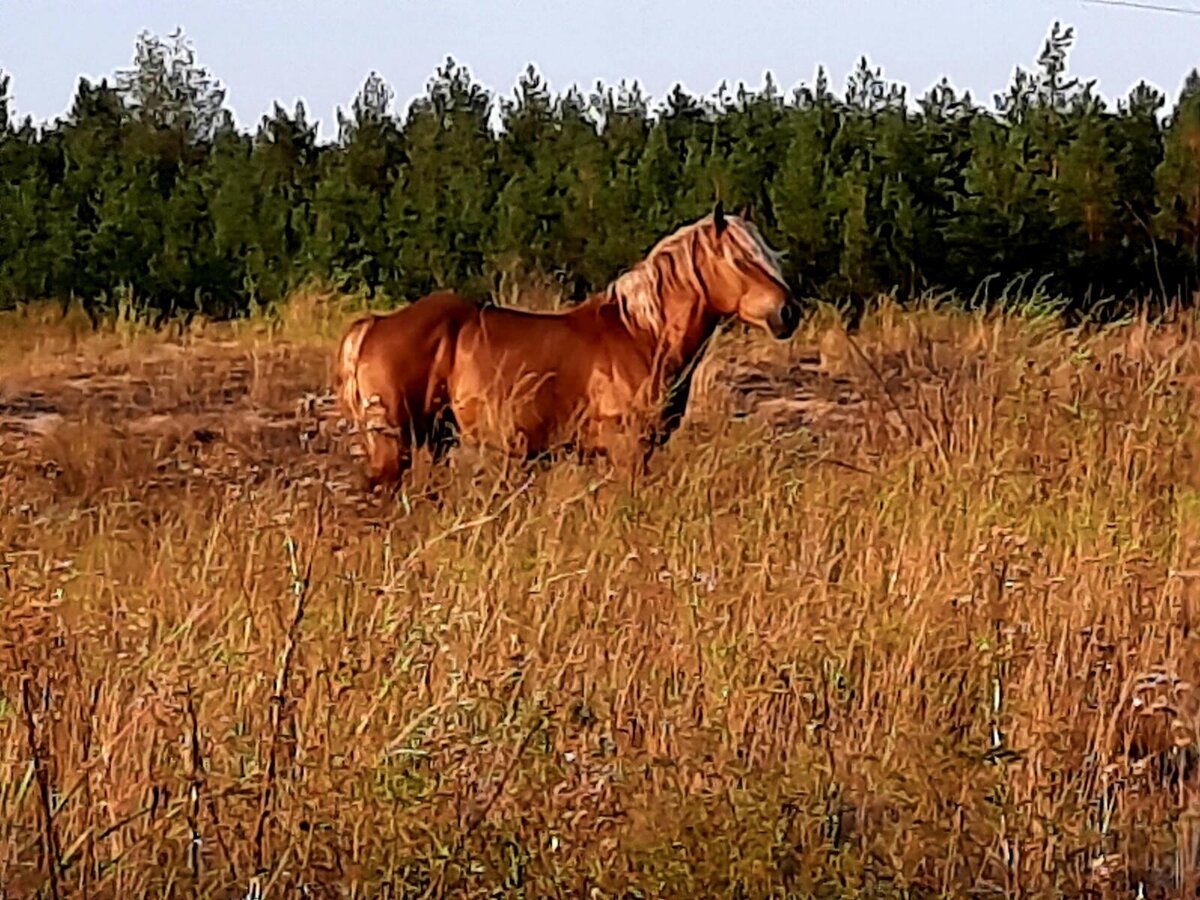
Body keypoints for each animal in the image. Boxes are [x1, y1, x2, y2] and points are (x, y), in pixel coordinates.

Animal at [336, 201, 796, 494]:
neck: (642, 335)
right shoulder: (627, 450)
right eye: (741, 259)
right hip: (395, 444)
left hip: (434, 440)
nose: (788, 312)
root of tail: (374, 325)